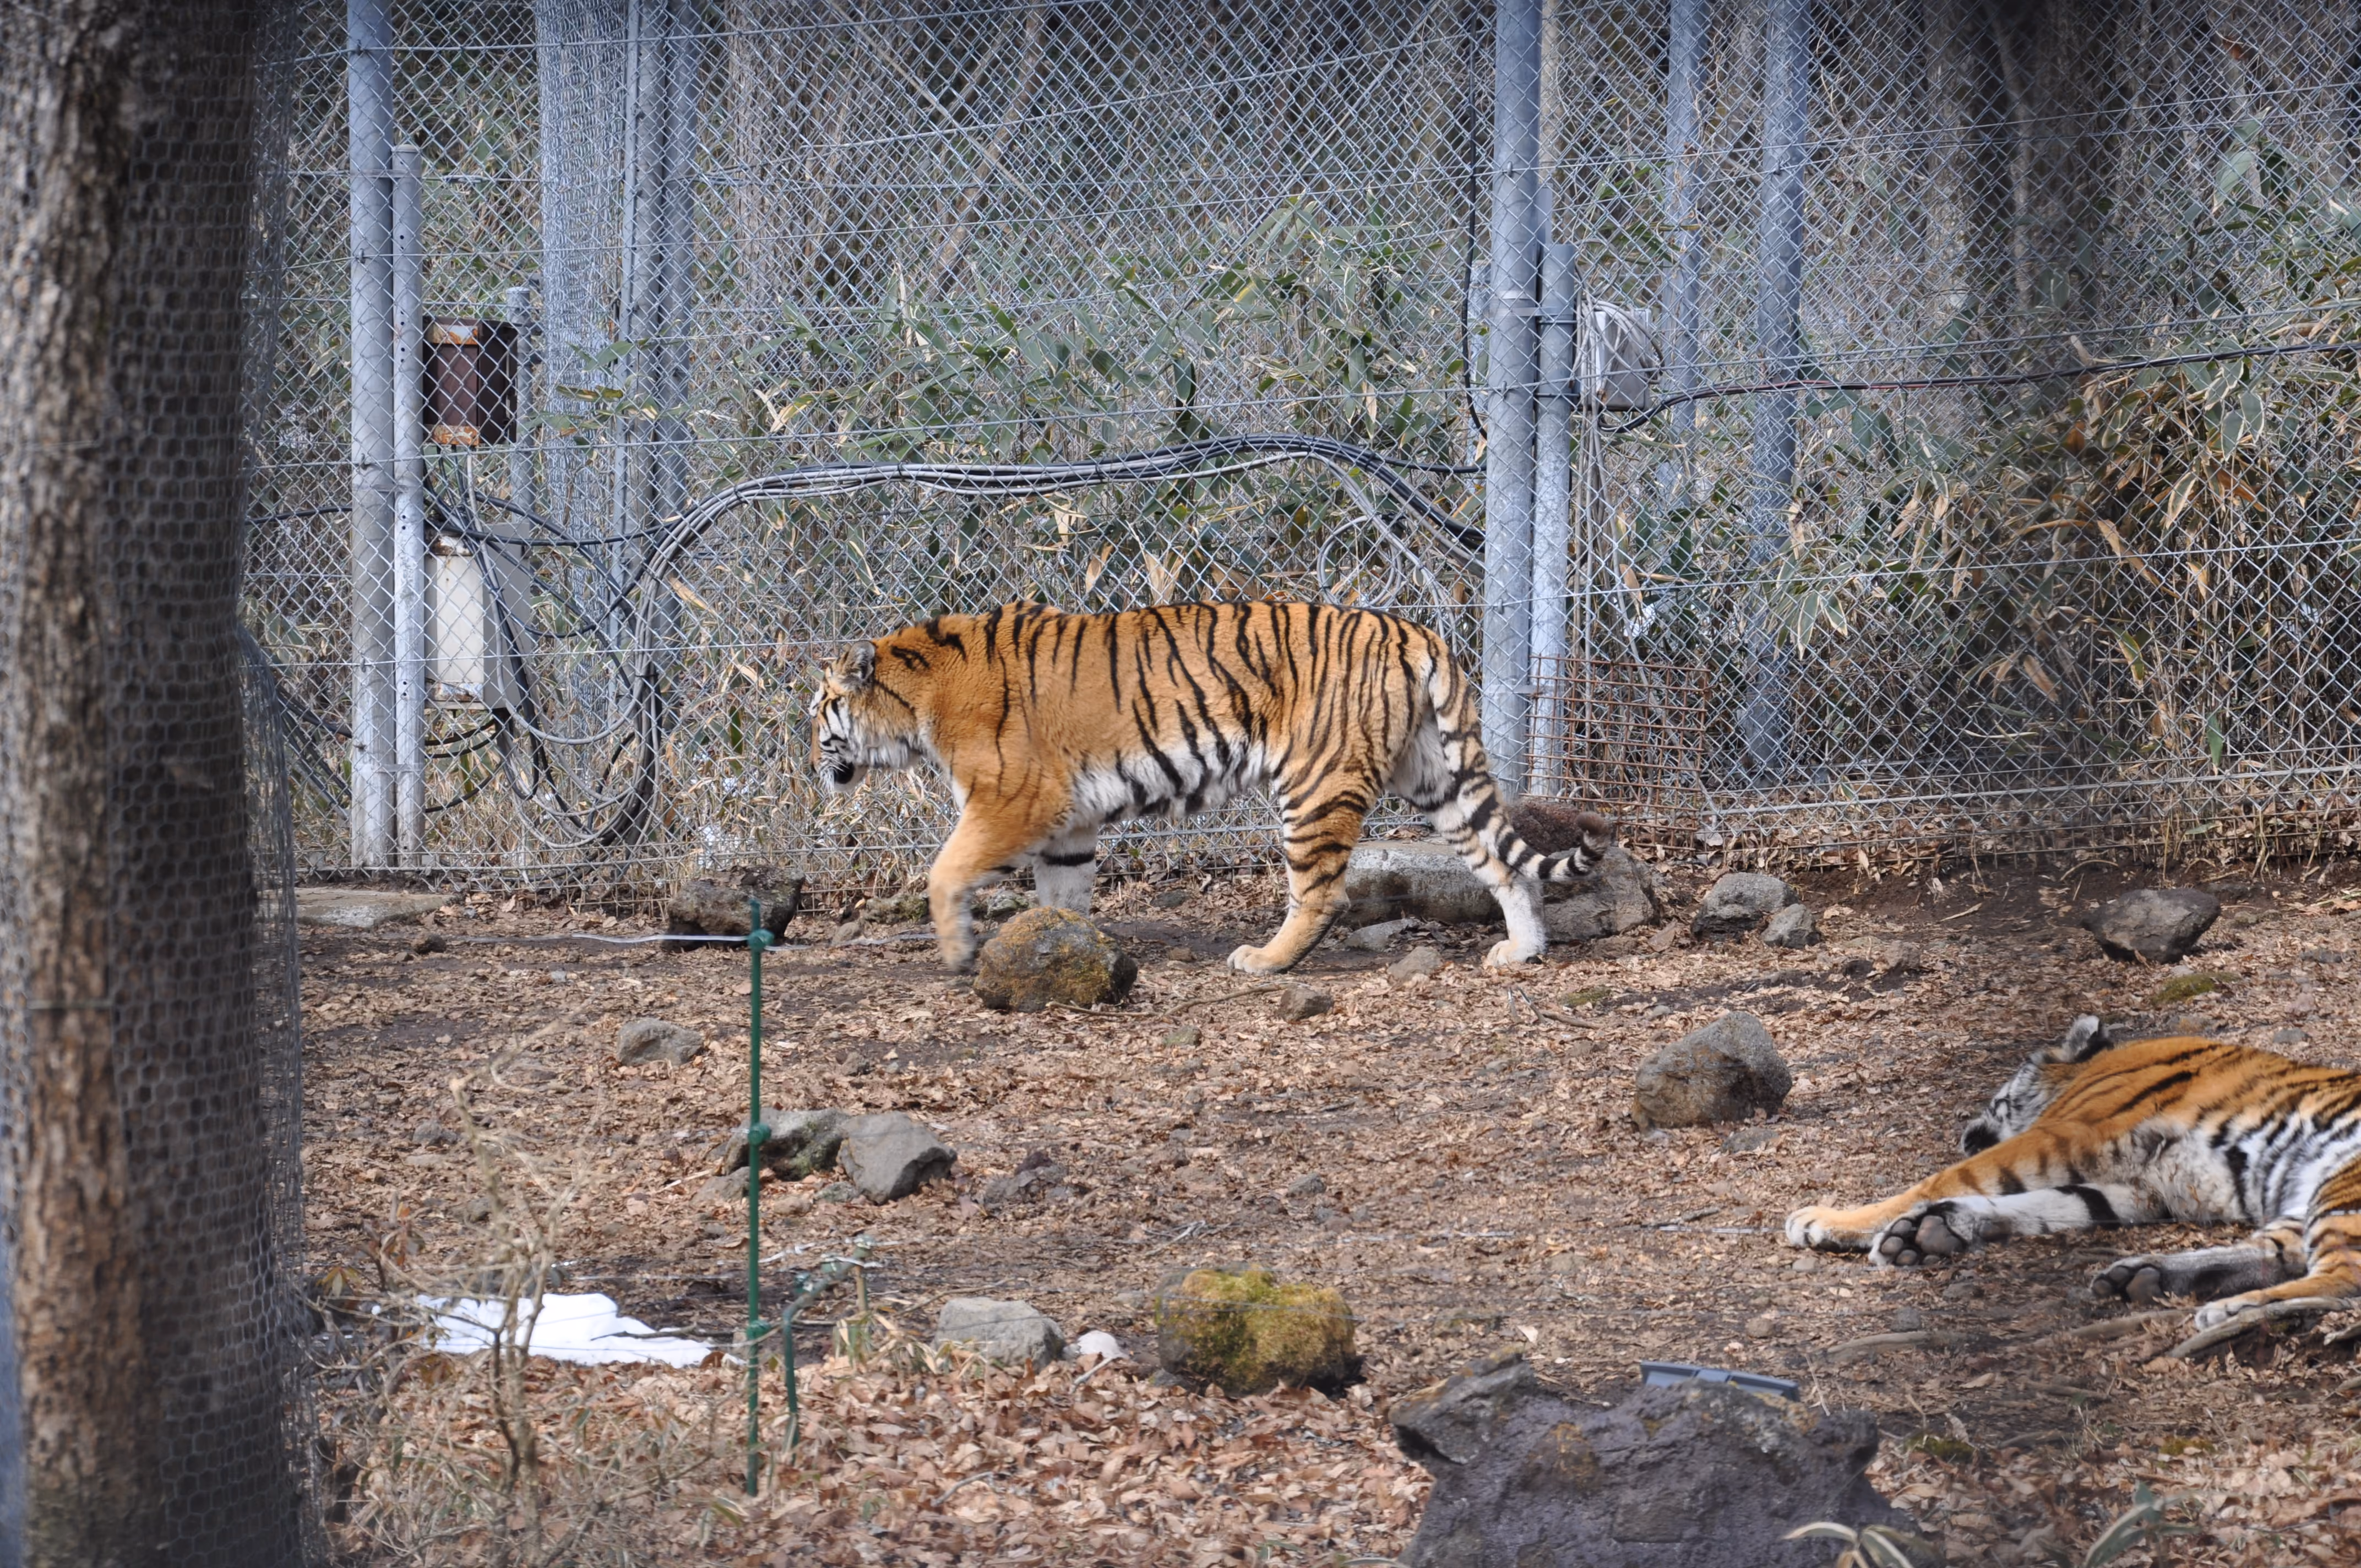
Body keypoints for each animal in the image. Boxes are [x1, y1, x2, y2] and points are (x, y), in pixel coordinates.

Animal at [809, 600, 1615, 975]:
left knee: (1321, 893)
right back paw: (1522, 952)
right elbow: (1062, 895)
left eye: (821, 710)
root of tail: (1410, 631)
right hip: (1438, 779)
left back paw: (1265, 961)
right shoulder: (1069, 822)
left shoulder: (1010, 799)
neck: (916, 700)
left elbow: (944, 870)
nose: (812, 750)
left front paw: (957, 952)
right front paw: (1065, 951)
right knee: (1505, 863)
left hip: (1312, 784)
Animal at [1785, 1015, 2361, 1330]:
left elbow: (1950, 1178)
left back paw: (2230, 1311)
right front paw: (1927, 1233)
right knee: (2278, 1256)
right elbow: (2048, 1206)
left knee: (2343, 1280)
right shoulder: (2142, 1188)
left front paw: (1826, 1220)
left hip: (2341, 1189)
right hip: (2304, 1197)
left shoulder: (2068, 1133)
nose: (1964, 1129)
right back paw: (2144, 1277)